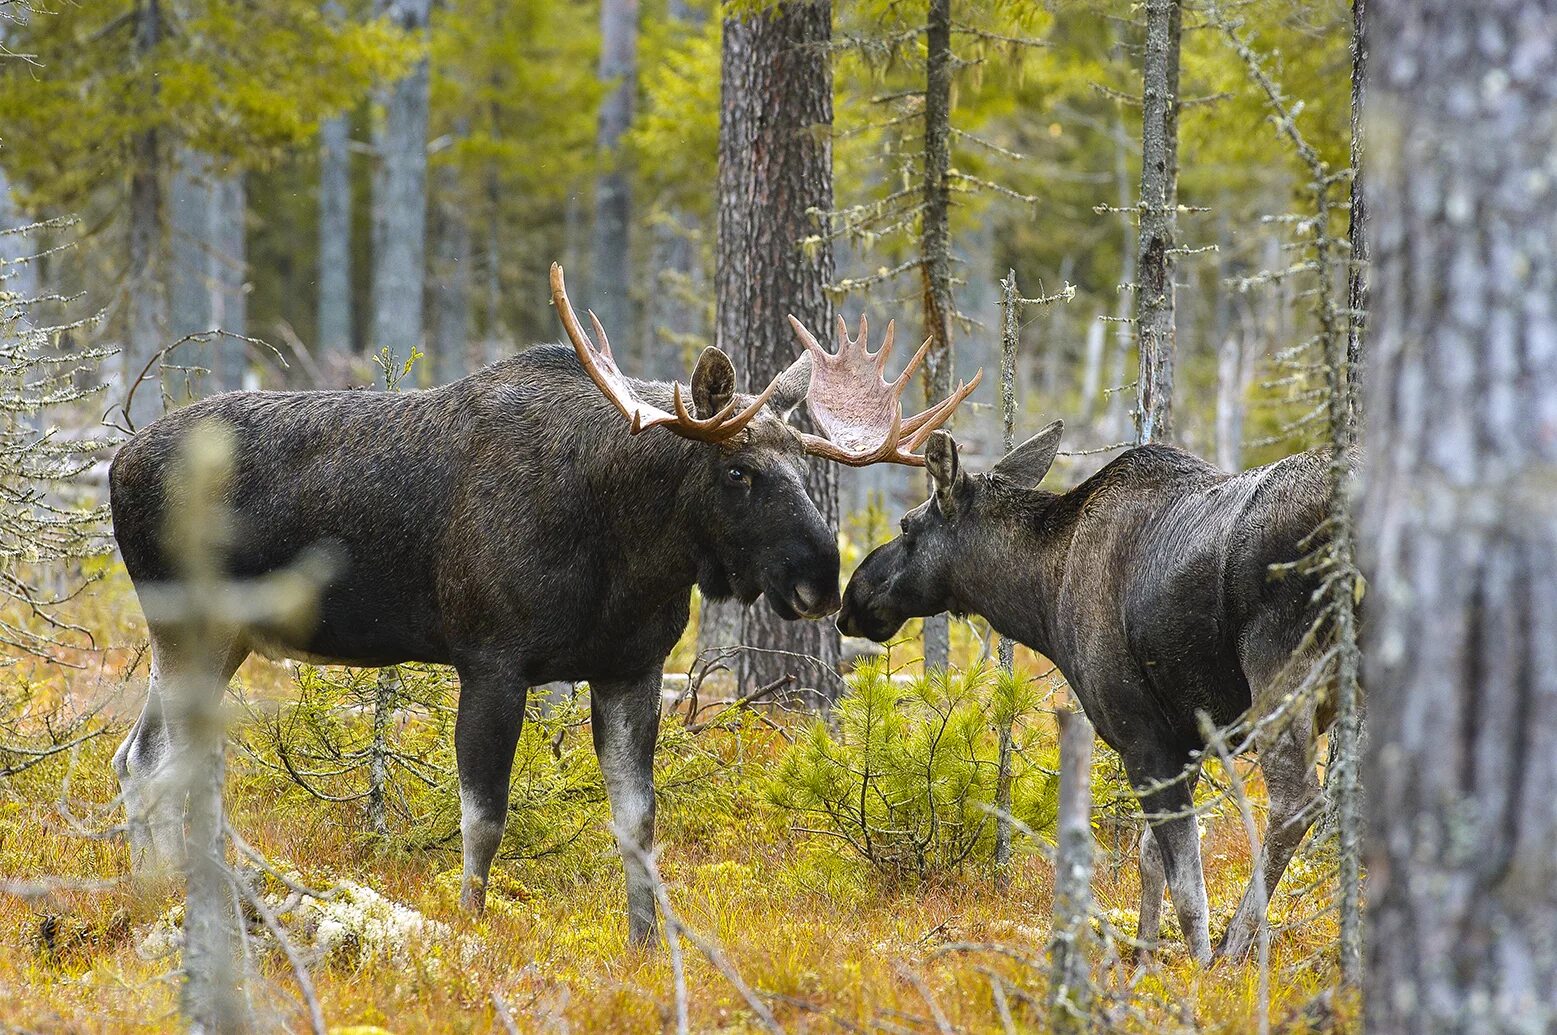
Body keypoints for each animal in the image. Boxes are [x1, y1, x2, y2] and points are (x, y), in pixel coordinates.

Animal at [112, 264, 971, 946]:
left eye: (798, 458)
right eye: (737, 471)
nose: (821, 579)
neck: (626, 552)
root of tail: (117, 458)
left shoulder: (630, 666)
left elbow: (637, 820)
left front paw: (645, 941)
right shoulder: (491, 658)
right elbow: (484, 816)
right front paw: (468, 921)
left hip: (220, 636)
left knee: (137, 756)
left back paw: (153, 894)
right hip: (185, 623)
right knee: (163, 759)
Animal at [840, 420, 1339, 958]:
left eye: (905, 525)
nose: (850, 600)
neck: (1043, 597)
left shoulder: (1141, 730)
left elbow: (1188, 888)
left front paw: (1198, 966)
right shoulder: (1189, 736)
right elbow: (1150, 858)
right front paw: (1144, 958)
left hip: (1278, 664)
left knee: (1295, 802)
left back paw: (1233, 947)